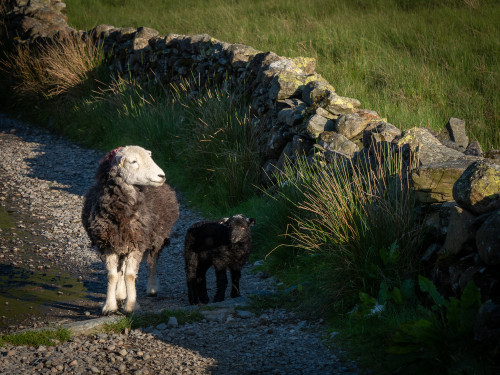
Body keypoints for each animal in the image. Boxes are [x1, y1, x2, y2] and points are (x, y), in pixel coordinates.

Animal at [83, 146, 180, 314]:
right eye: (133, 161)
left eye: (149, 157)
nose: (161, 175)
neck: (121, 213)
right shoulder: (108, 243)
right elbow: (112, 275)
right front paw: (109, 306)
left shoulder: (137, 243)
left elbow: (129, 275)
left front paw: (131, 306)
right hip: (123, 243)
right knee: (121, 269)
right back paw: (120, 293)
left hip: (157, 237)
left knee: (153, 261)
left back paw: (152, 288)